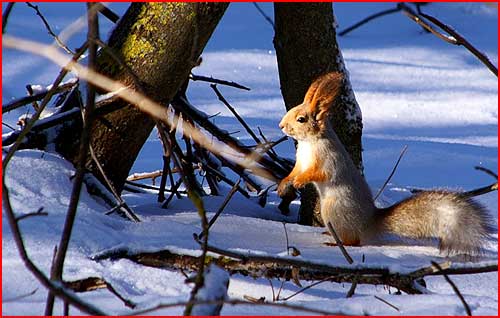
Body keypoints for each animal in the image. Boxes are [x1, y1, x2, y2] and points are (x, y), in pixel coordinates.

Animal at [280, 72, 494, 256]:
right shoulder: (301, 161)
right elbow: (295, 171)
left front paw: (300, 181)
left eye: (301, 119)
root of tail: (368, 223)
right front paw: (285, 182)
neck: (309, 142)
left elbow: (320, 174)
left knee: (354, 241)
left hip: (333, 210)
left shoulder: (329, 159)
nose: (281, 126)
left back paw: (335, 242)